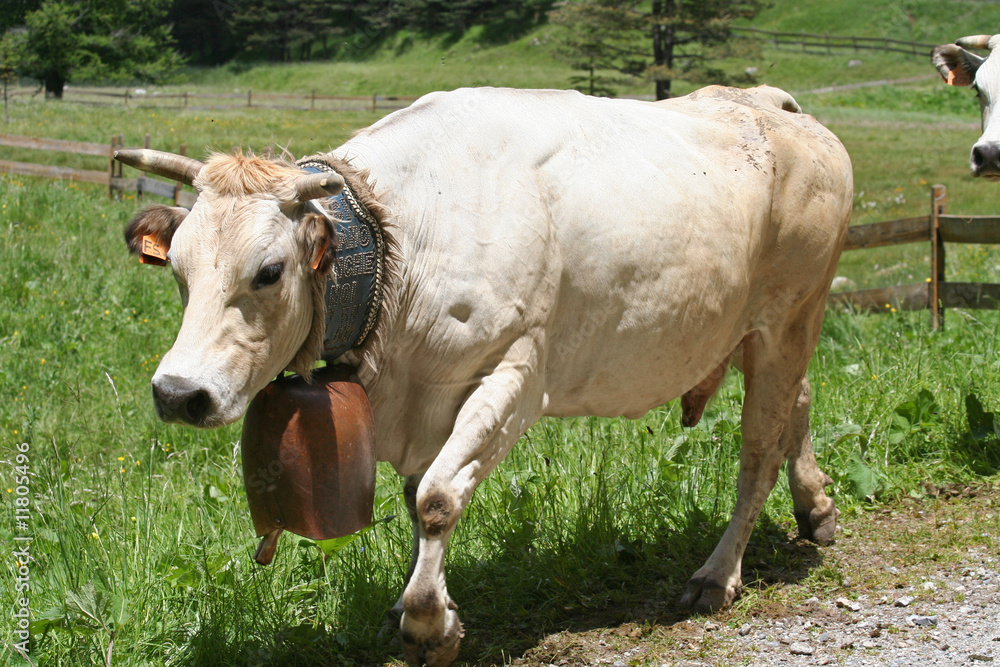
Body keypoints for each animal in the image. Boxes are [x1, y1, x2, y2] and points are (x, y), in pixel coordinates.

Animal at [118, 85, 853, 667]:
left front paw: (428, 626)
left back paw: (717, 575)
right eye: (178, 268)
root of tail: (770, 103)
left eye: (268, 271)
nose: (178, 393)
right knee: (798, 401)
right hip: (764, 329)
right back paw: (815, 506)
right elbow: (415, 498)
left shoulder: (516, 370)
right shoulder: (427, 396)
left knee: (758, 447)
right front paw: (420, 605)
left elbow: (437, 498)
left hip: (791, 313)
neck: (396, 246)